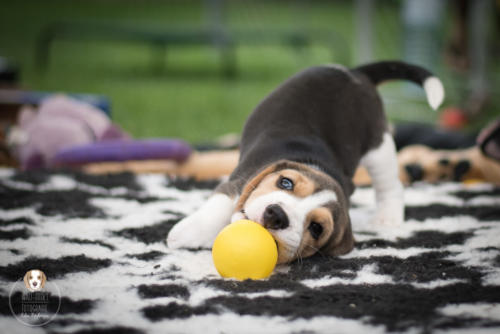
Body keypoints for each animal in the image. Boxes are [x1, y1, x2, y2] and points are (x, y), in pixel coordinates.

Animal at [168, 60, 446, 264]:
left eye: (316, 228)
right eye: (286, 183)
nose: (276, 215)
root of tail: (354, 73)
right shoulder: (238, 180)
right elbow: (221, 203)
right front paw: (188, 233)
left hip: (378, 146)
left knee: (391, 185)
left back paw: (388, 218)